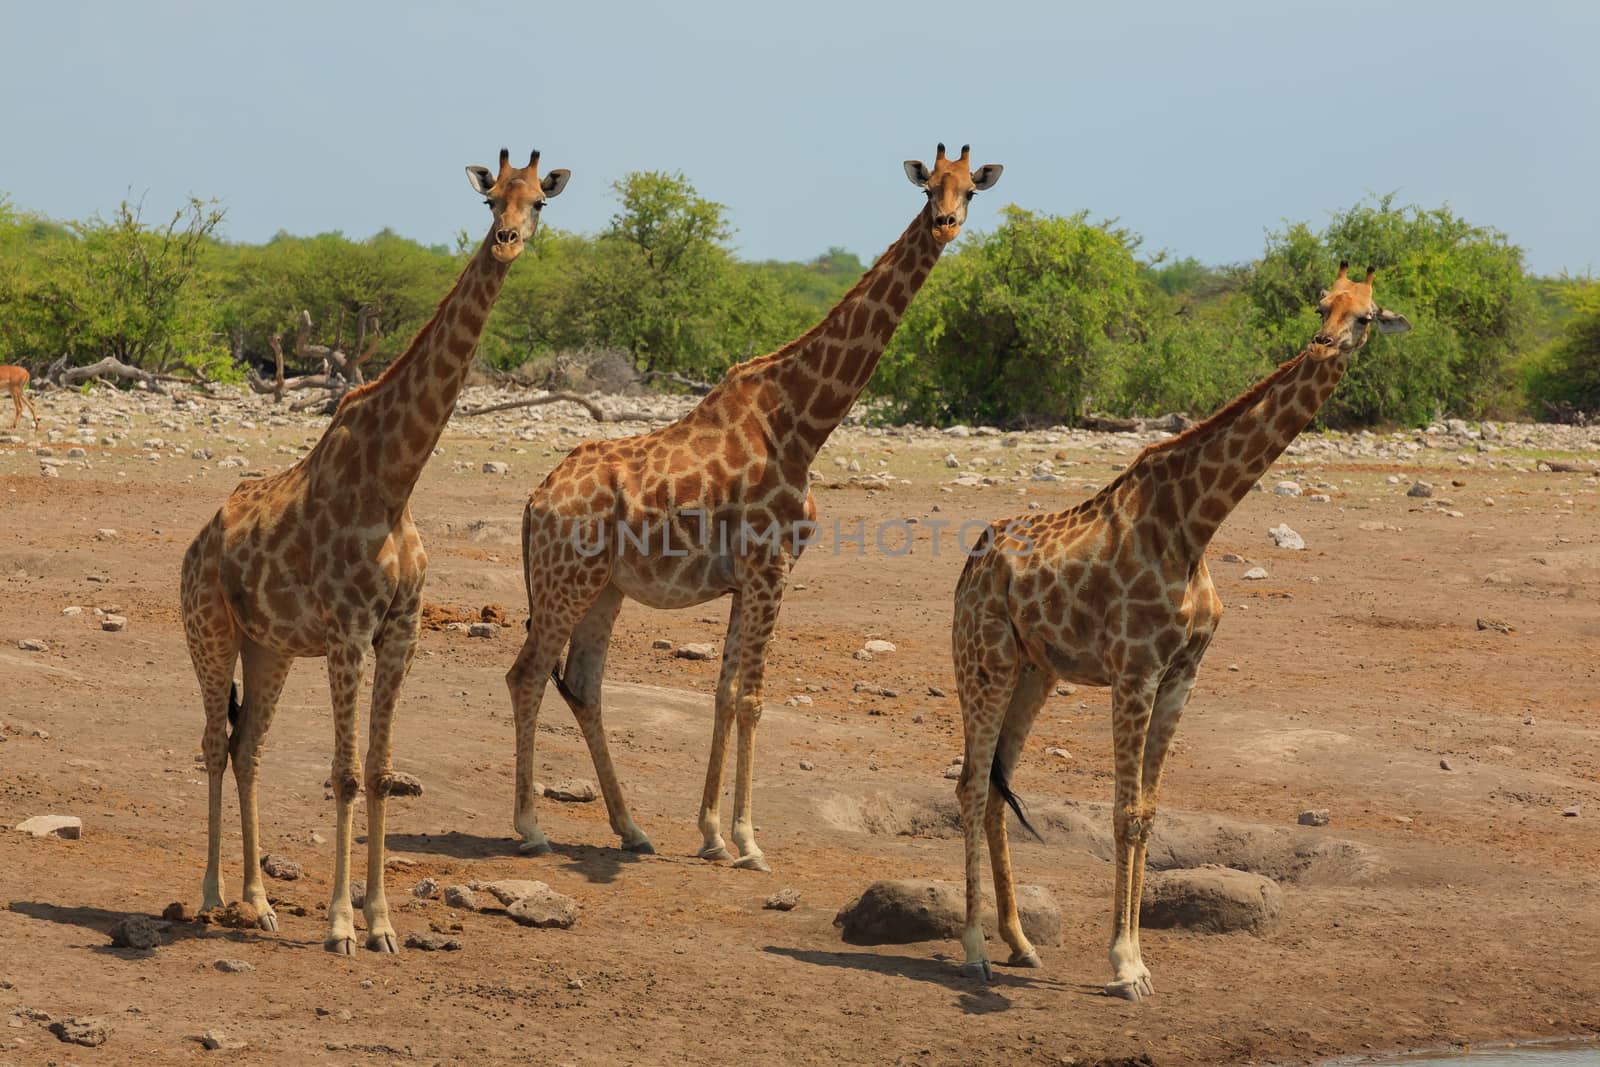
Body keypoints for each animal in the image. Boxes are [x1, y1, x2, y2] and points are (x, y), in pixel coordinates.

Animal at [180, 146, 569, 953]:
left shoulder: (401, 632)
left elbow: (382, 770)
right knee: (210, 743)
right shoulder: (350, 633)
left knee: (246, 746)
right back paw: (210, 895)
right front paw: (339, 925)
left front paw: (382, 921)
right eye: (491, 200)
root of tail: (196, 545)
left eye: (539, 204)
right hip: (208, 631)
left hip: (269, 648)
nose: (507, 242)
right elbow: (347, 773)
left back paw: (260, 902)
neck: (397, 479)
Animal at [499, 146, 998, 870]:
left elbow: (726, 691)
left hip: (602, 588)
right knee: (528, 674)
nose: (945, 224)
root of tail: (535, 501)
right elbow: (756, 698)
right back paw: (531, 826)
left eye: (970, 190)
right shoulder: (771, 568)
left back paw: (632, 827)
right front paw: (748, 840)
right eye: (930, 186)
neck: (802, 421)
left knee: (582, 684)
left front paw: (710, 832)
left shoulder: (744, 579)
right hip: (566, 582)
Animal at [947, 262, 1414, 998]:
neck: (1197, 524)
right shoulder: (1135, 670)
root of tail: (974, 559)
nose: (1323, 344)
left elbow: (1146, 814)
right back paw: (973, 950)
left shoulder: (1182, 673)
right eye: (1321, 304)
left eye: (1365, 316)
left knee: (995, 790)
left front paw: (1137, 960)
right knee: (969, 783)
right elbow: (1122, 812)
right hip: (982, 660)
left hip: (1033, 672)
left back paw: (1020, 943)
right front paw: (1124, 962)